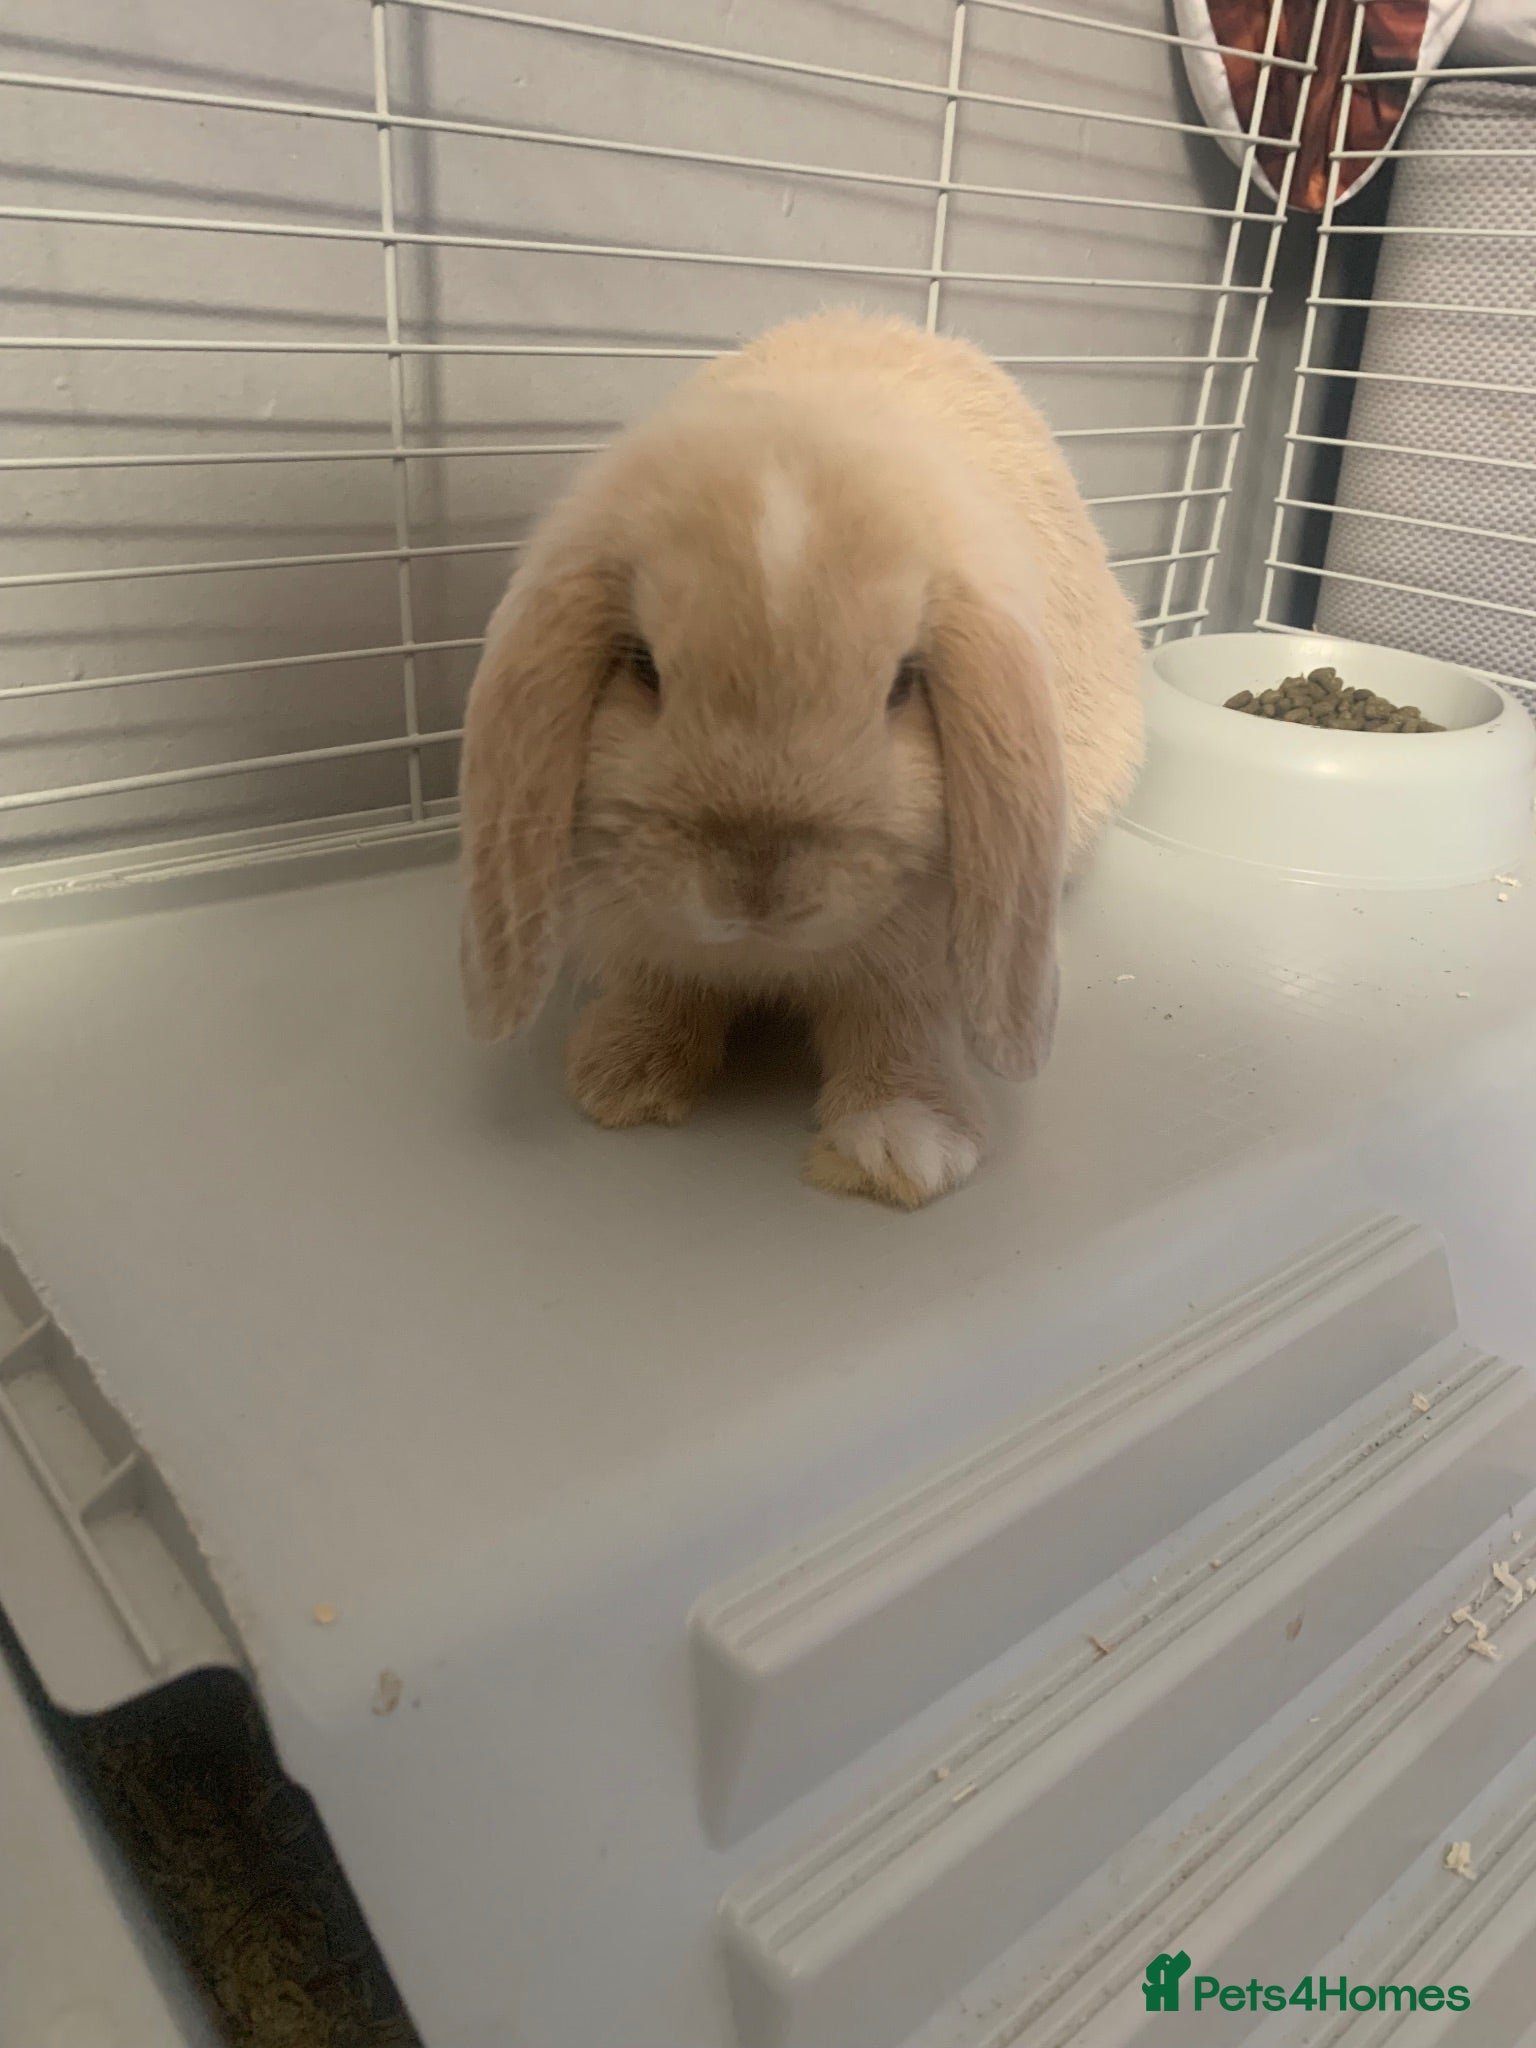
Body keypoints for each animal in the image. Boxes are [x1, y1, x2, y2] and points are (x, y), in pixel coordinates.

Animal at [458, 311, 1143, 1208]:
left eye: (902, 684)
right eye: (643, 667)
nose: (755, 883)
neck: (766, 957)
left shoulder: (915, 965)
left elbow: (895, 1028)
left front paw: (903, 1150)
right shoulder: (640, 937)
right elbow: (661, 987)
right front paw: (623, 1082)